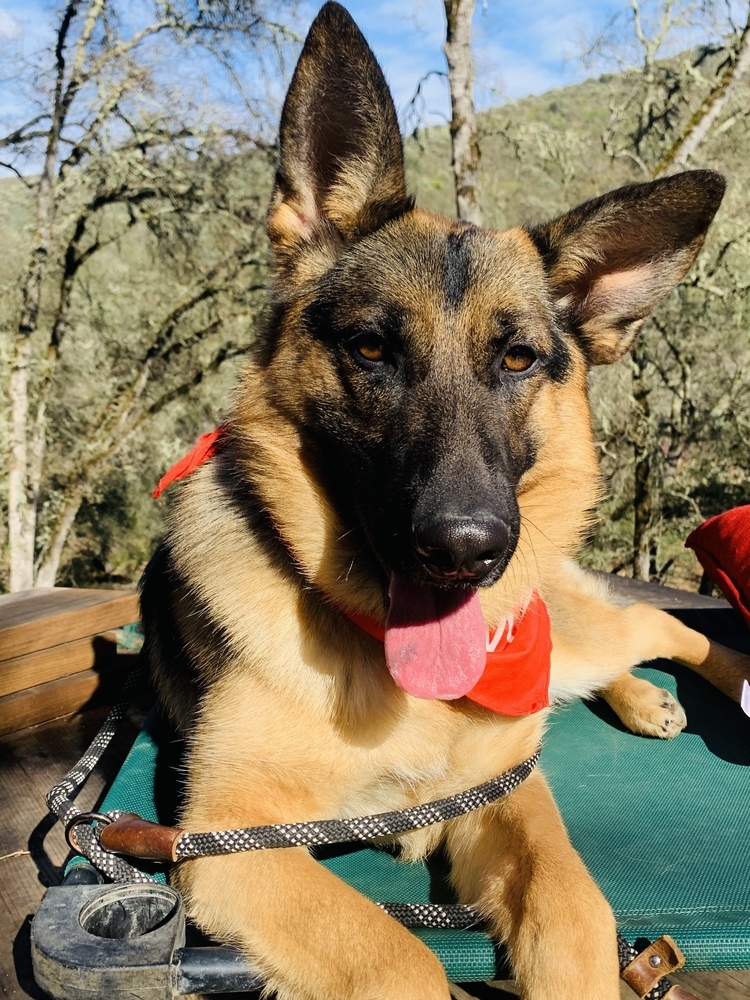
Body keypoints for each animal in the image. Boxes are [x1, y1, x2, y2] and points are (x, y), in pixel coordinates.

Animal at [141, 3, 750, 996]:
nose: (465, 550)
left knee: (659, 627)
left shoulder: (510, 795)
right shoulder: (232, 845)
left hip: (573, 635)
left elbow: (579, 911)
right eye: (371, 347)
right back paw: (640, 698)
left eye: (519, 358)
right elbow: (396, 957)